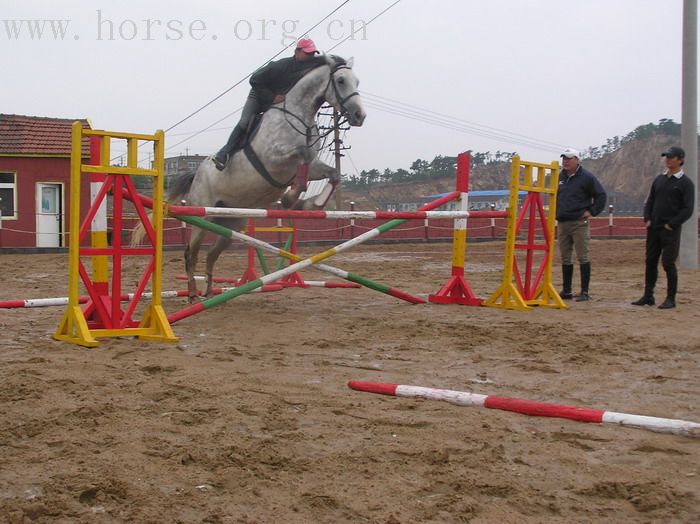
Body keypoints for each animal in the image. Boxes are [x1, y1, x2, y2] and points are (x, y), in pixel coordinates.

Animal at [167, 54, 364, 300]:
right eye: (340, 81)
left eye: (357, 81)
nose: (359, 116)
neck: (298, 117)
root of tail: (196, 174)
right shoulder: (274, 158)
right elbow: (302, 156)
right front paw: (291, 199)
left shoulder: (312, 166)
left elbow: (331, 174)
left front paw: (310, 203)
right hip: (202, 218)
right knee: (190, 253)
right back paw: (193, 293)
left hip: (231, 222)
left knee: (212, 254)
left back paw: (210, 291)